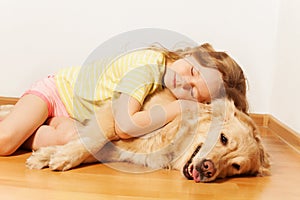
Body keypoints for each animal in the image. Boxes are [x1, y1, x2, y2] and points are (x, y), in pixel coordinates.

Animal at [24, 89, 270, 183]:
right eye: (223, 139)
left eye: (236, 167)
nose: (208, 168)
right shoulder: (116, 114)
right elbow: (92, 140)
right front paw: (57, 157)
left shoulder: (121, 149)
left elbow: (91, 146)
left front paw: (50, 154)